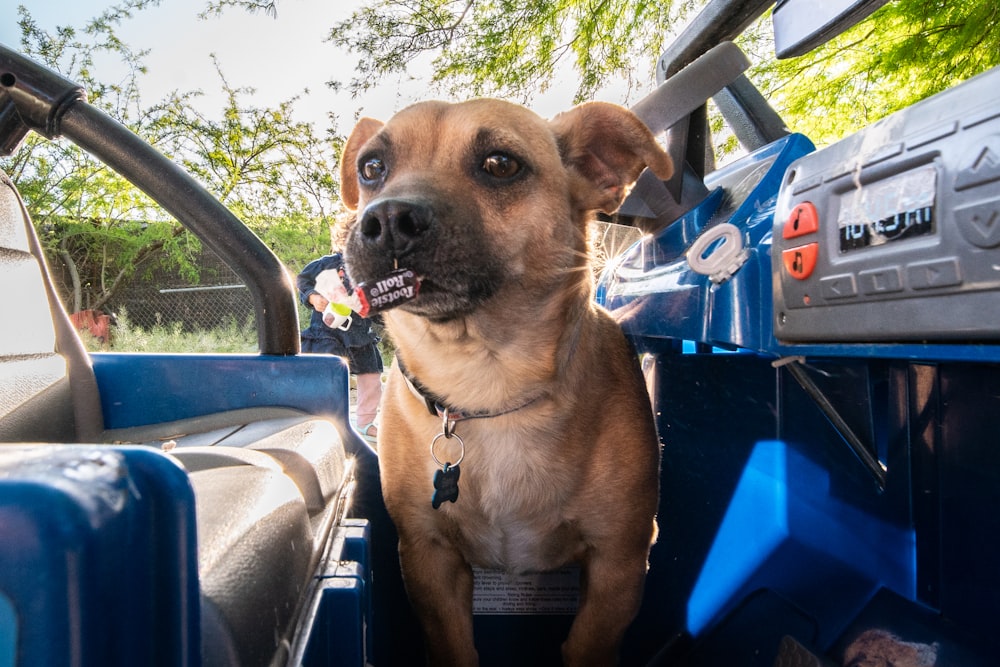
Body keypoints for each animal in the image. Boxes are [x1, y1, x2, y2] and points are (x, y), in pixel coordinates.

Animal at [340, 100, 676, 667]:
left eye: (500, 164)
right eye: (371, 168)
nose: (384, 220)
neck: (487, 385)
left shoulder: (619, 562)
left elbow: (585, 645)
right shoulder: (429, 559)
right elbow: (455, 648)